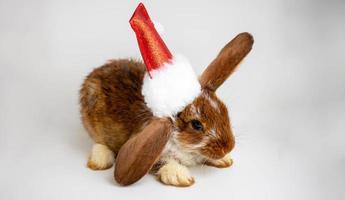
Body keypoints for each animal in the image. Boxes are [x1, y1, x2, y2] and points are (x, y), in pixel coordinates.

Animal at [80, 32, 253, 187]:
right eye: (196, 125)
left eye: (224, 110)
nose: (228, 147)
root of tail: (97, 71)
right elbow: (164, 162)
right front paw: (180, 177)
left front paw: (224, 160)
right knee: (100, 142)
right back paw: (100, 160)